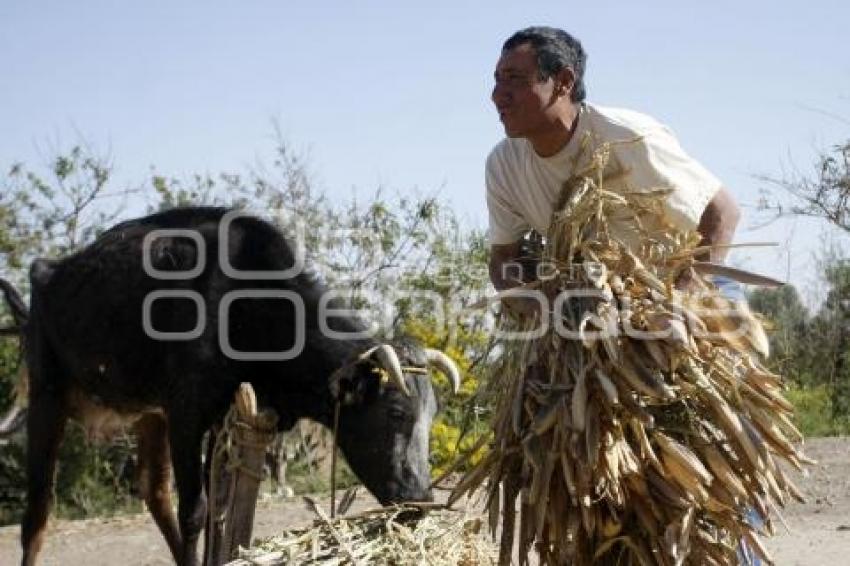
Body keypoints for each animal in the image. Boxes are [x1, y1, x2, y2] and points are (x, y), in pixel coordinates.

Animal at [18, 209, 458, 566]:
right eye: (397, 413)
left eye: (432, 416)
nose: (421, 502)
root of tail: (51, 270)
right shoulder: (186, 412)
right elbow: (195, 511)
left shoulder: (222, 416)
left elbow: (218, 510)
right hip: (46, 395)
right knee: (37, 511)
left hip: (148, 413)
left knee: (154, 492)